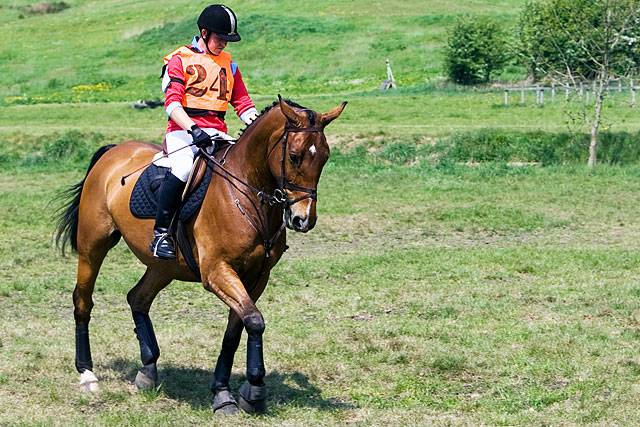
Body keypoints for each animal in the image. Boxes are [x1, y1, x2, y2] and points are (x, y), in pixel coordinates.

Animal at [54, 96, 344, 414]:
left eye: (325, 157)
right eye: (294, 156)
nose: (303, 219)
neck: (245, 194)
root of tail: (113, 151)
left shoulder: (257, 277)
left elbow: (237, 329)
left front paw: (229, 391)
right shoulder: (217, 271)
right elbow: (254, 321)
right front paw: (251, 392)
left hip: (163, 266)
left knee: (138, 298)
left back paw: (148, 370)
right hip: (93, 247)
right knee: (83, 301)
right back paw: (87, 374)